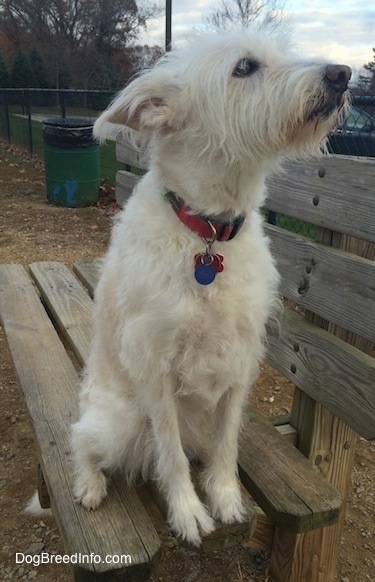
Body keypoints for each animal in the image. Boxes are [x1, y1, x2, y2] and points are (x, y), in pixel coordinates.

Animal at [71, 27, 352, 548]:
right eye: (245, 67)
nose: (343, 74)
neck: (208, 234)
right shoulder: (155, 368)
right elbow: (172, 455)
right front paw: (187, 513)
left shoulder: (239, 361)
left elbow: (225, 446)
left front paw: (224, 498)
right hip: (118, 421)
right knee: (82, 439)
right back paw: (90, 485)